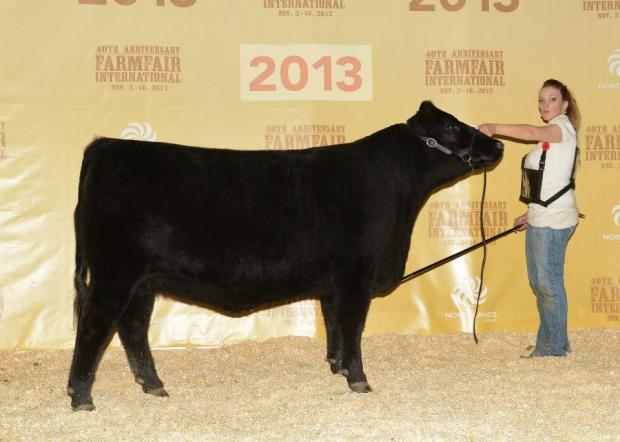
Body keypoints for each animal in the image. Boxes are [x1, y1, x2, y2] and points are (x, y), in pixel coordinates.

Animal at [68, 101, 504, 410]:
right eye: (451, 126)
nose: (498, 143)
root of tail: (107, 145)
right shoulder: (356, 276)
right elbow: (352, 327)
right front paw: (359, 380)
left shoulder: (334, 283)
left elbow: (334, 324)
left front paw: (337, 366)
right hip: (115, 273)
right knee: (94, 325)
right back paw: (81, 397)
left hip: (143, 280)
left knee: (132, 329)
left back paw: (153, 386)